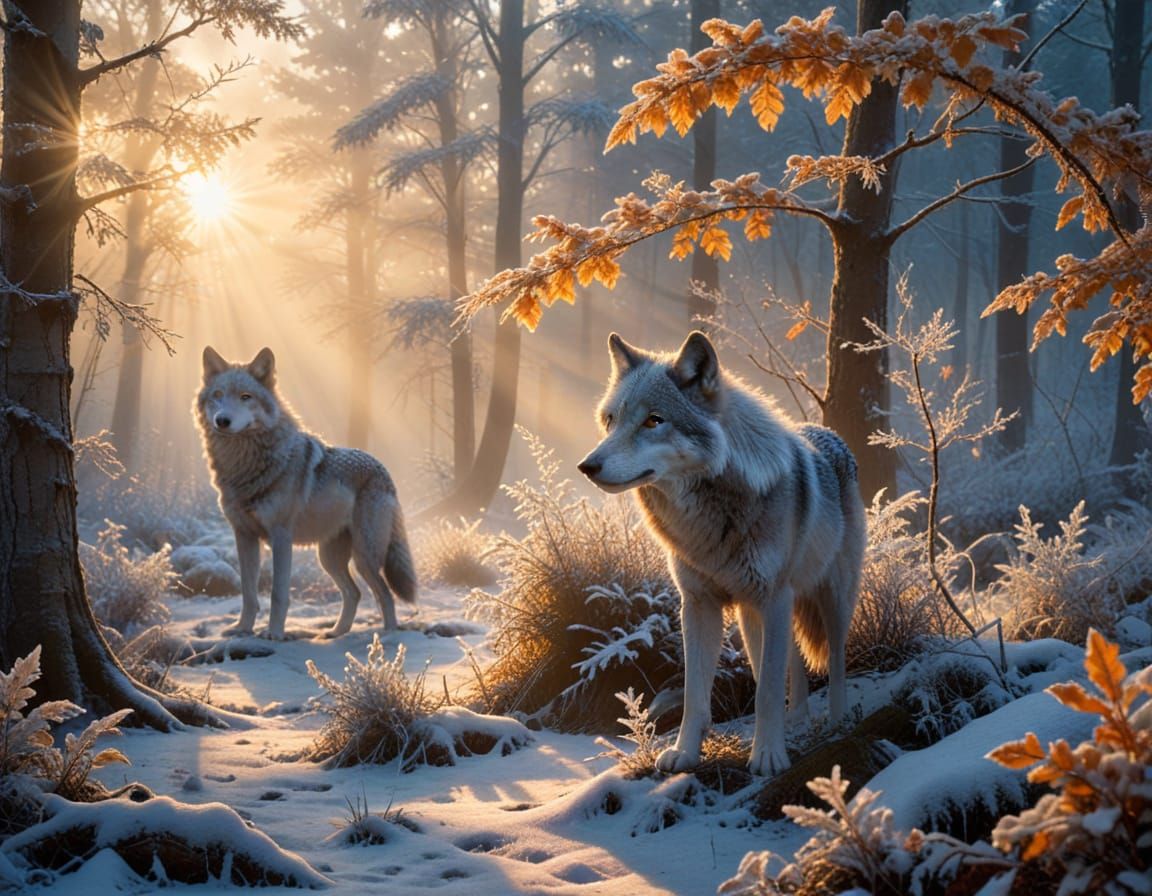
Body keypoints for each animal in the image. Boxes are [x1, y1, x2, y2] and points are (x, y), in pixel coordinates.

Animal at [195, 346, 417, 640]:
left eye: (245, 397)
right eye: (218, 395)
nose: (222, 420)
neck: (243, 464)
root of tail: (384, 470)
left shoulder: (280, 537)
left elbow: (277, 593)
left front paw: (274, 634)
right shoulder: (244, 536)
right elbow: (247, 592)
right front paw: (242, 628)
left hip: (364, 557)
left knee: (385, 594)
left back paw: (390, 637)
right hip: (329, 559)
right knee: (354, 593)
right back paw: (336, 633)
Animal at [577, 331, 864, 776]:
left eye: (654, 421)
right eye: (611, 420)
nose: (588, 465)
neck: (709, 520)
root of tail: (827, 432)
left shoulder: (774, 597)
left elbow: (766, 692)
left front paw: (768, 756)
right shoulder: (698, 605)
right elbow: (697, 694)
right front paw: (685, 753)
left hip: (830, 598)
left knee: (834, 661)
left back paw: (837, 721)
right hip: (754, 617)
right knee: (791, 665)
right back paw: (796, 721)